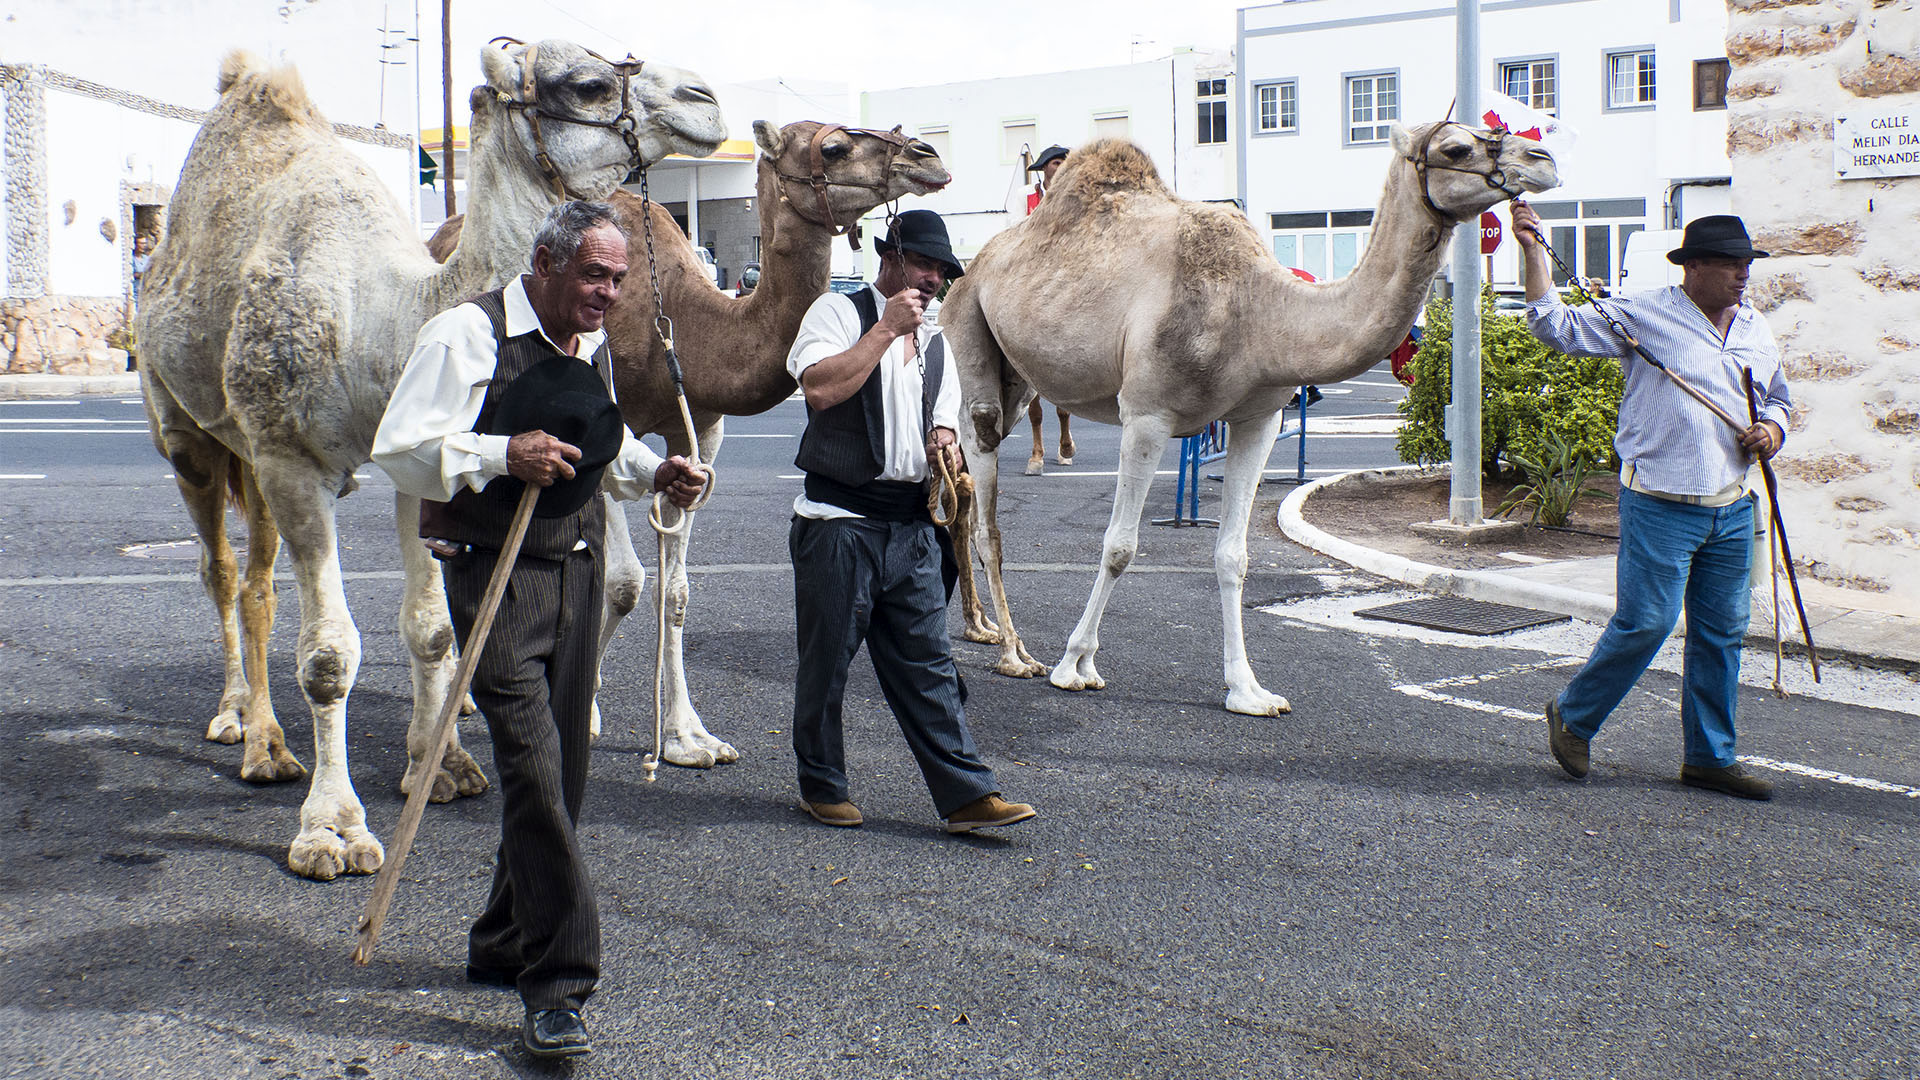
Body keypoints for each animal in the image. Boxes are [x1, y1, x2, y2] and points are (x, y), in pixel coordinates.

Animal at [135, 44, 721, 883]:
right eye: (587, 83)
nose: (706, 100)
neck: (382, 321)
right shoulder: (291, 461)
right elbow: (329, 654)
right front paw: (333, 830)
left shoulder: (414, 454)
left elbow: (433, 628)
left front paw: (438, 769)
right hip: (188, 434)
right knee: (218, 569)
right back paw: (245, 729)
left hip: (249, 454)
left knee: (254, 583)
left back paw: (264, 736)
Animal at [428, 119, 952, 764]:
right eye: (832, 148)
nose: (927, 156)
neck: (680, 324)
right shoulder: (607, 425)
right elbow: (623, 582)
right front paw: (588, 708)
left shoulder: (701, 430)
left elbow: (675, 590)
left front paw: (687, 736)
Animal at [944, 125, 1559, 711]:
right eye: (1455, 148)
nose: (1542, 159)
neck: (1258, 312)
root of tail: (975, 264)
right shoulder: (1147, 413)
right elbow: (1119, 546)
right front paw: (1075, 665)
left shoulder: (1259, 418)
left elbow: (1233, 556)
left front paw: (1248, 691)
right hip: (968, 326)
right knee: (984, 486)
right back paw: (1013, 653)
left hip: (1018, 372)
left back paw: (1002, 637)